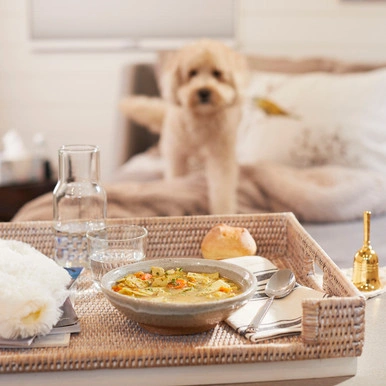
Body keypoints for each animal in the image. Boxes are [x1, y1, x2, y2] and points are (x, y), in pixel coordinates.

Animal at [119, 40, 249, 214]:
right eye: (192, 73)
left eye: (217, 73)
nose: (204, 92)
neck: (201, 119)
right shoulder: (177, 153)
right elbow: (177, 179)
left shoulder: (221, 156)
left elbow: (221, 189)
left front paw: (223, 212)